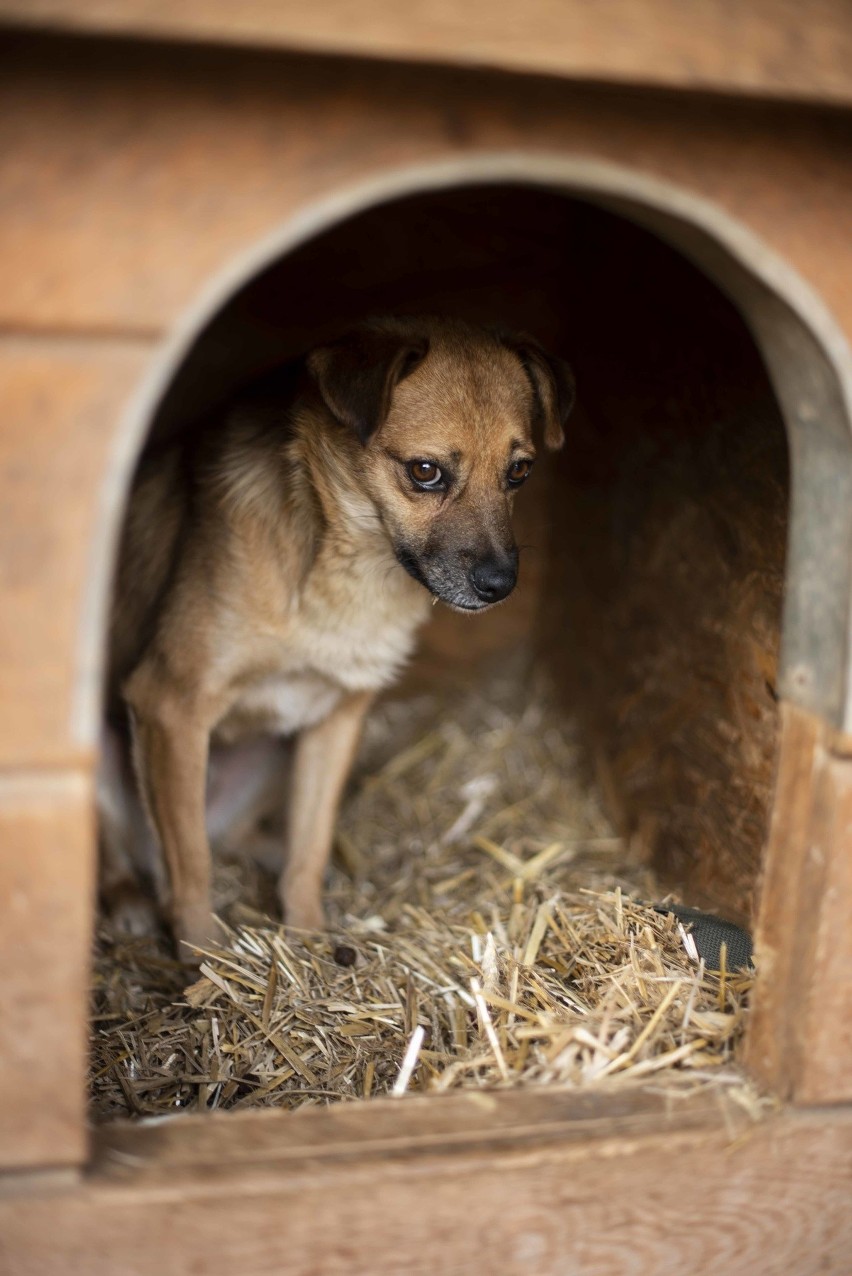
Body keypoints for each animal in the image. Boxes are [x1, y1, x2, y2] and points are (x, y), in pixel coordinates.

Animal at [103, 316, 576, 959]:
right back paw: (130, 898)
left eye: (519, 472)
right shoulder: (169, 704)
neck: (348, 568)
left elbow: (310, 843)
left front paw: (307, 937)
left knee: (240, 837)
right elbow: (192, 864)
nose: (500, 585)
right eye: (425, 471)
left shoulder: (337, 718)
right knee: (141, 851)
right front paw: (205, 960)